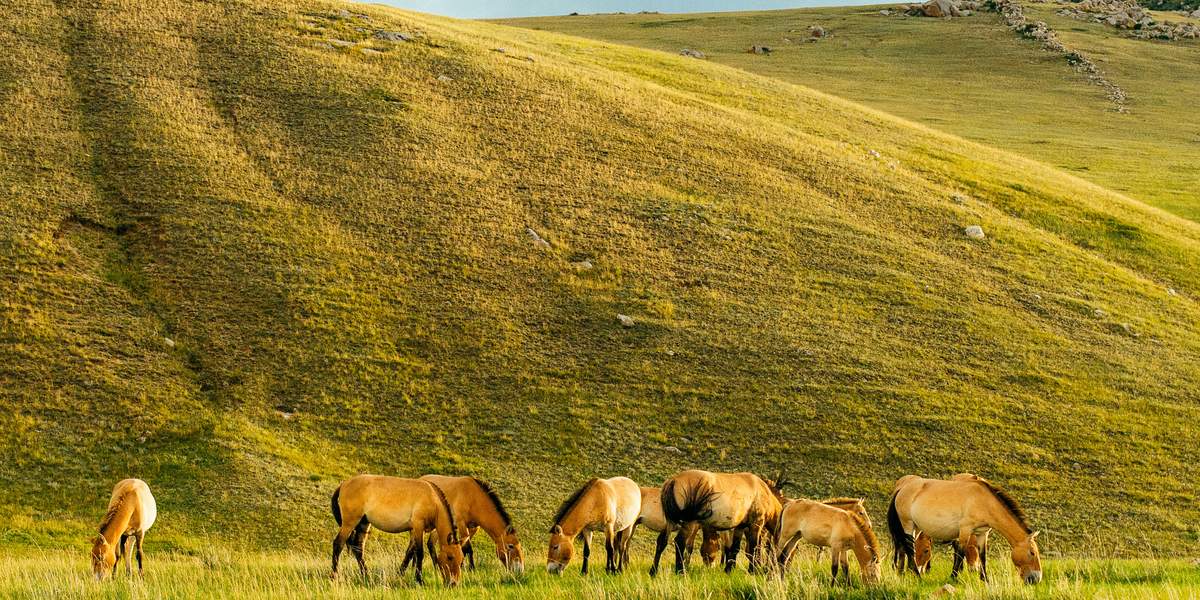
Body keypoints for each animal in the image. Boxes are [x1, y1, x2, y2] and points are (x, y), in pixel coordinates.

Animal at [331, 472, 465, 585]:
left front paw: (400, 575)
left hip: (363, 523)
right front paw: (419, 580)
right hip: (349, 523)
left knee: (358, 548)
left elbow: (409, 553)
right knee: (338, 544)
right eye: (450, 557)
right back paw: (334, 577)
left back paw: (366, 575)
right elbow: (419, 553)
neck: (432, 500)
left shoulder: (413, 531)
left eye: (461, 560)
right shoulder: (418, 527)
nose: (453, 583)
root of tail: (344, 484)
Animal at [888, 470, 1046, 583]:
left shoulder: (982, 533)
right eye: (1032, 552)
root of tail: (902, 488)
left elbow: (983, 556)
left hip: (916, 527)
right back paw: (917, 576)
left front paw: (985, 580)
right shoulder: (965, 530)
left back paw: (904, 573)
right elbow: (960, 553)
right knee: (909, 549)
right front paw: (953, 578)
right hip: (907, 524)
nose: (1037, 578)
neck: (984, 501)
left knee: (907, 548)